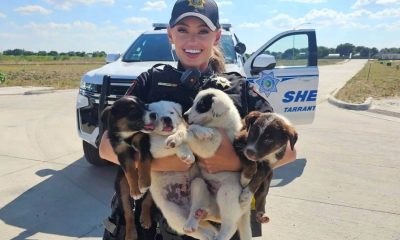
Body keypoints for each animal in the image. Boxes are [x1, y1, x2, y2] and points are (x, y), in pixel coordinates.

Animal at [162, 88, 250, 240]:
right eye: (194, 102)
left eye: (201, 105)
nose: (184, 115)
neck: (217, 123)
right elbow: (190, 128)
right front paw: (175, 138)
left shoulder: (212, 145)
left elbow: (190, 130)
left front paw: (195, 133)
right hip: (199, 184)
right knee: (200, 205)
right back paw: (193, 221)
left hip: (228, 192)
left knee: (230, 225)